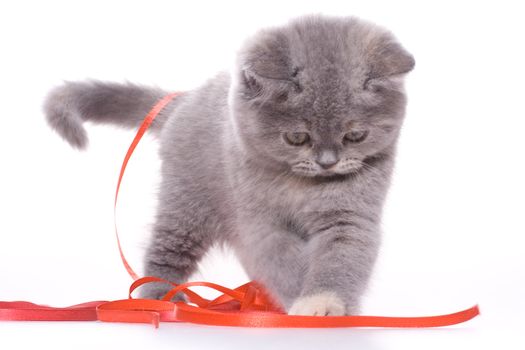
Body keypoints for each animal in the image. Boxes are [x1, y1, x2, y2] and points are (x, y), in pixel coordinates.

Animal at [44, 15, 414, 316]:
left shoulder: (349, 216)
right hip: (185, 206)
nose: (328, 162)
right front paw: (301, 302)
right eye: (297, 137)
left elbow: (341, 258)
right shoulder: (259, 223)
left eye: (355, 135)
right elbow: (285, 262)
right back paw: (162, 297)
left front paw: (323, 303)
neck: (302, 184)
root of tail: (185, 100)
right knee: (165, 250)